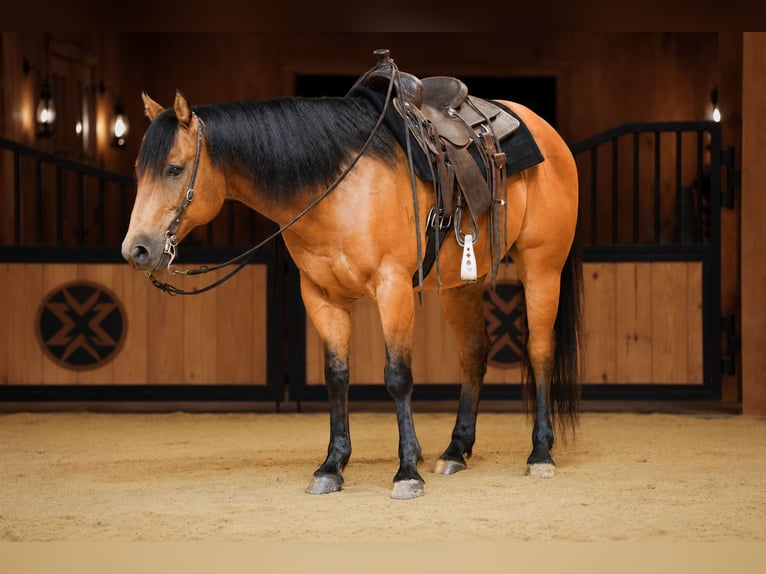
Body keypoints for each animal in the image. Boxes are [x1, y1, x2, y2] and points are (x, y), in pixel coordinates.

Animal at [121, 59, 583, 500]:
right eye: (140, 171)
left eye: (174, 169)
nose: (136, 249)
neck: (337, 185)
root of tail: (551, 137)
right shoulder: (321, 296)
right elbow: (336, 377)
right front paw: (331, 466)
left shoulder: (392, 288)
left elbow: (397, 377)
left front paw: (406, 472)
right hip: (462, 285)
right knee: (474, 354)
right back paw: (455, 451)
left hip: (542, 268)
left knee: (540, 352)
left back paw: (540, 453)